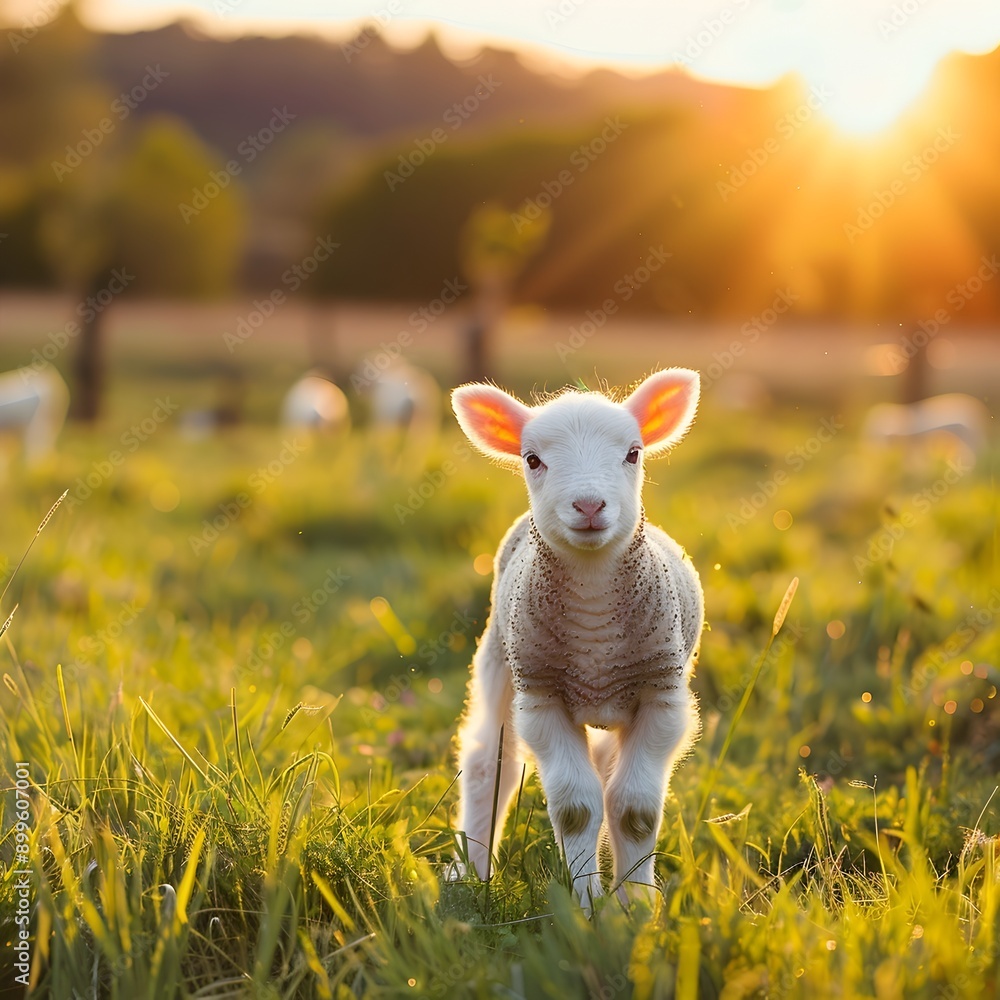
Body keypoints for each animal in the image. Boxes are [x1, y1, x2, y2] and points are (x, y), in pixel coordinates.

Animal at [448, 369, 704, 909]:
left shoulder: (662, 696)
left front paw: (636, 906)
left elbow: (634, 808)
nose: (589, 505)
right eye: (532, 459)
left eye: (633, 453)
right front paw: (585, 904)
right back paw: (470, 875)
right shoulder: (542, 698)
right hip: (500, 657)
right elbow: (576, 808)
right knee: (489, 766)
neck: (594, 630)